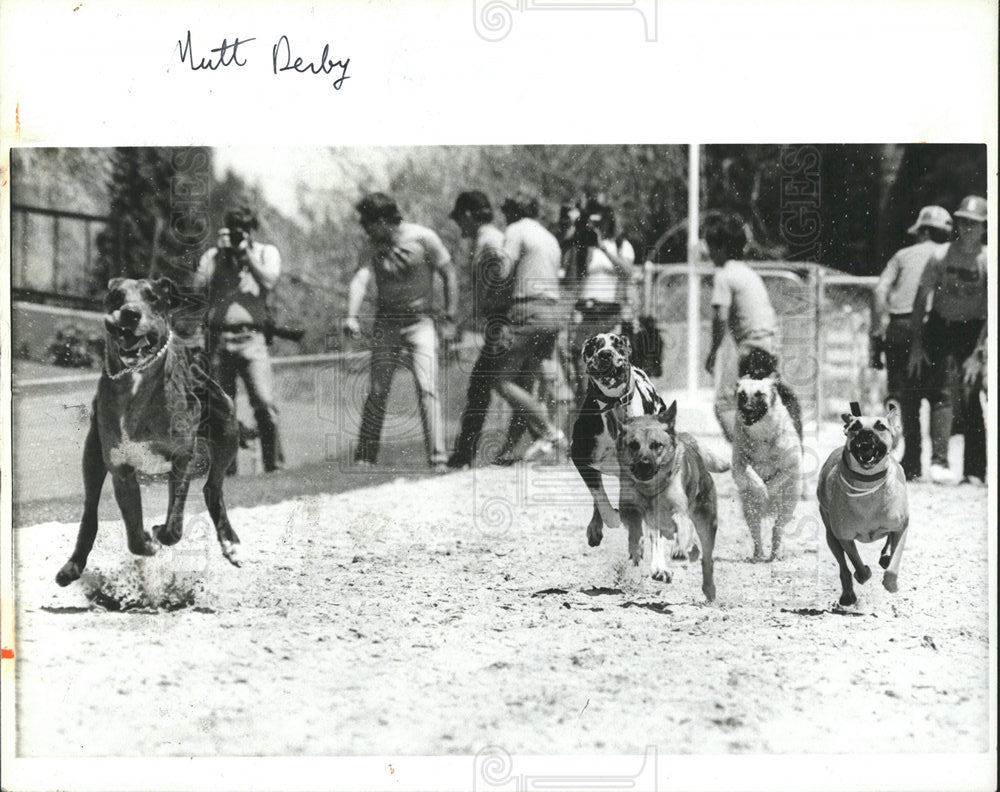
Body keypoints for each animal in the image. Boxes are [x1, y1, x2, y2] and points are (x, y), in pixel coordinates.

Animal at [56, 278, 242, 588]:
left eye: (152, 297)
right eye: (116, 295)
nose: (130, 313)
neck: (135, 382)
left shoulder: (182, 458)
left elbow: (174, 526)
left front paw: (158, 532)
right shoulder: (122, 469)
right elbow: (133, 534)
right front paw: (146, 540)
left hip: (227, 425)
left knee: (212, 488)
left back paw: (231, 543)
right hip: (92, 454)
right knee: (90, 509)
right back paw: (73, 565)